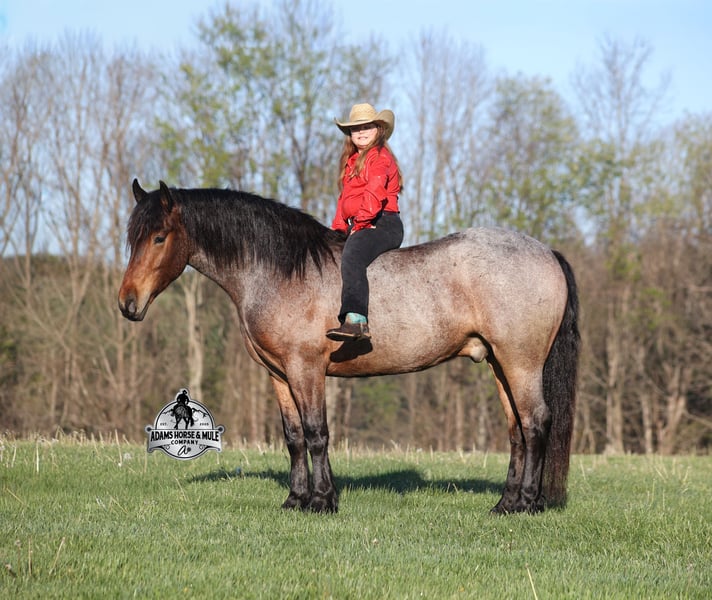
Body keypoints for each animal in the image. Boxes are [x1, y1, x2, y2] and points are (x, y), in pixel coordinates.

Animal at [118, 179, 579, 515]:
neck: (282, 272)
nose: (127, 303)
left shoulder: (305, 369)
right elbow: (293, 437)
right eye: (133, 238)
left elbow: (317, 433)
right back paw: (506, 502)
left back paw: (527, 503)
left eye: (159, 237)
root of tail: (547, 252)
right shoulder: (279, 375)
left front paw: (323, 500)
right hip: (500, 364)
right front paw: (295, 499)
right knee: (517, 430)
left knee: (536, 423)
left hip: (521, 363)